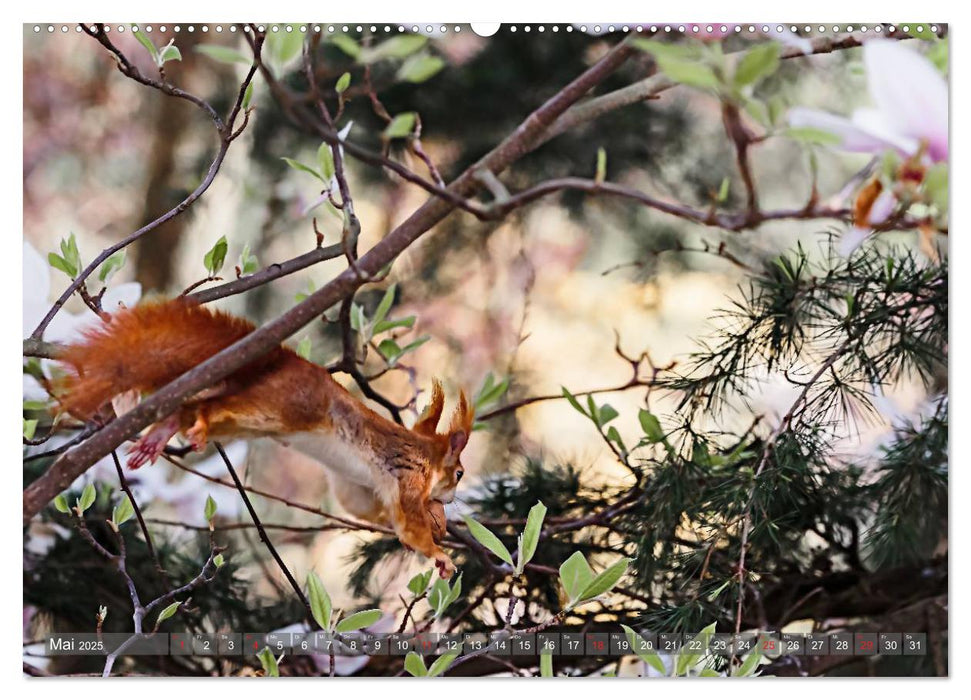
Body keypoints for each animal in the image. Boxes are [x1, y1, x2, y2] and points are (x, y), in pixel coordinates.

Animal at [58, 298, 472, 576]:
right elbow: (408, 525)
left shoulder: (363, 486)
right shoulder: (409, 477)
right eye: (459, 473)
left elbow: (363, 506)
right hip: (281, 407)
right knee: (212, 408)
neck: (425, 455)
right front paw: (437, 550)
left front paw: (439, 523)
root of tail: (284, 362)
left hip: (253, 416)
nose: (452, 497)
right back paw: (191, 425)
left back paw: (160, 434)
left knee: (191, 408)